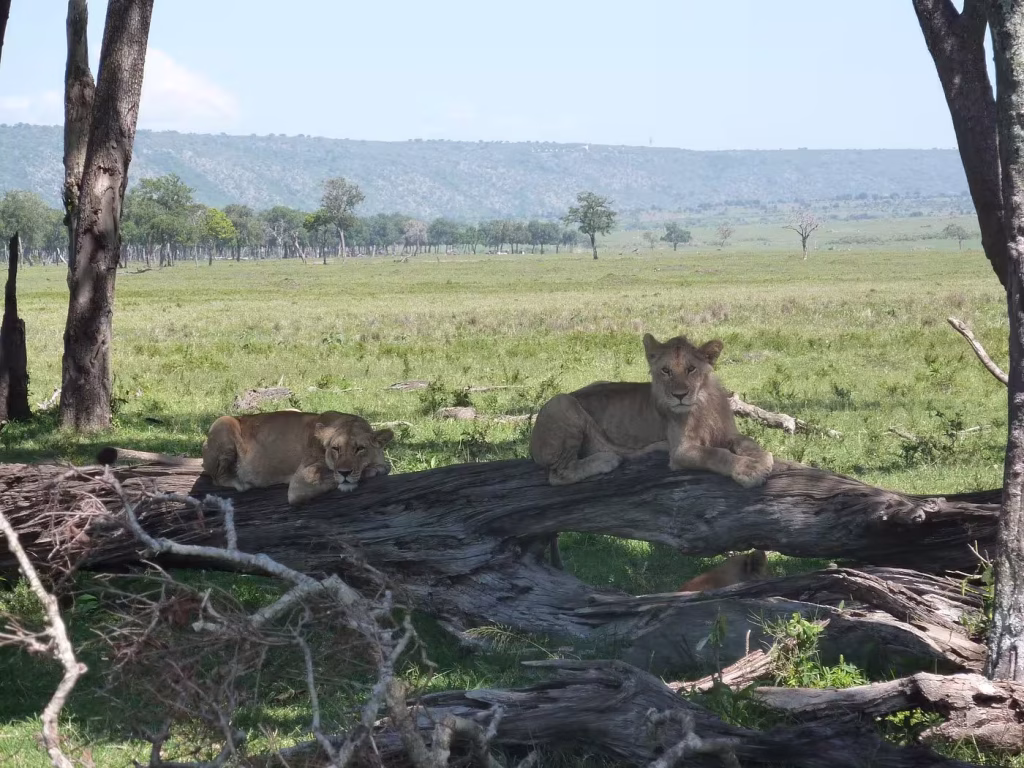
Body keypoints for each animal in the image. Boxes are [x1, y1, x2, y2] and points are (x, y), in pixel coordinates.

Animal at [97, 410, 394, 506]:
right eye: (335, 449)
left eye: (359, 449)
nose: (344, 471)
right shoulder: (300, 483)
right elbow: (331, 478)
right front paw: (369, 472)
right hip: (224, 422)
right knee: (216, 477)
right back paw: (241, 481)